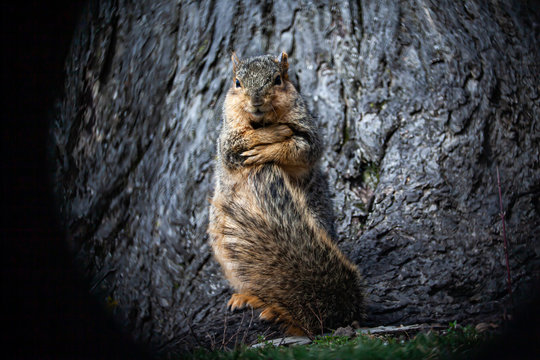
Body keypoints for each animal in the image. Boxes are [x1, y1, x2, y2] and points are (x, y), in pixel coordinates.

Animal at [209, 52, 364, 336]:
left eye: (278, 79)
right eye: (237, 82)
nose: (256, 99)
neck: (263, 120)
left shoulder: (308, 131)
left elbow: (300, 148)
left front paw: (269, 148)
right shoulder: (228, 140)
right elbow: (241, 142)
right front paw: (272, 134)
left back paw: (271, 308)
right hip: (228, 251)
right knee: (255, 282)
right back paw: (247, 296)